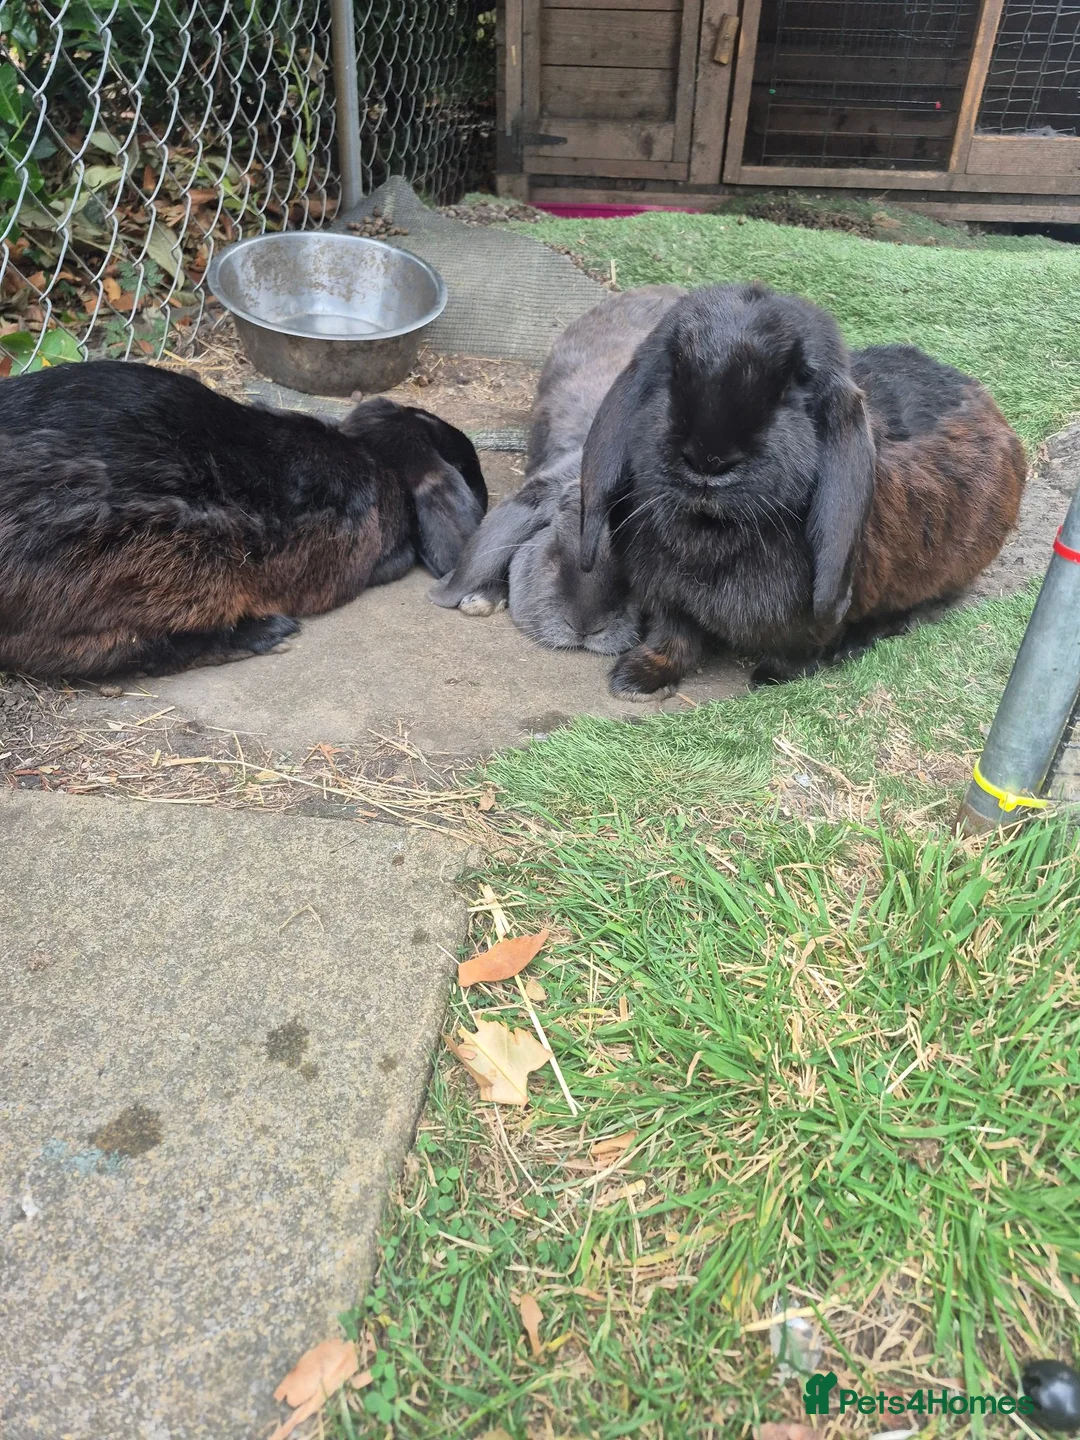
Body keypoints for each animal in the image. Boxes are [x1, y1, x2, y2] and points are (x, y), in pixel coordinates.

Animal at [579, 282, 1026, 697]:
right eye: (672, 371)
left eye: (793, 388)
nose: (708, 460)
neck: (711, 529)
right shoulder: (667, 598)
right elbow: (673, 639)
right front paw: (635, 678)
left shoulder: (810, 619)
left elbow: (800, 647)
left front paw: (772, 678)